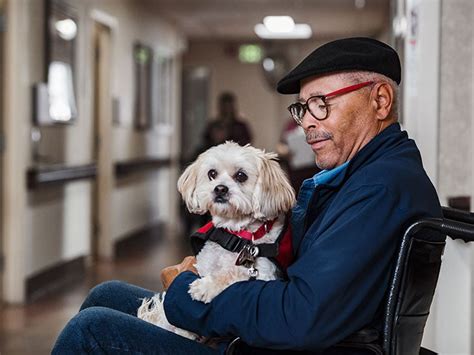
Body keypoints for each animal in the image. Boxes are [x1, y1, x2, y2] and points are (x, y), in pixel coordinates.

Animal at [135, 142, 294, 340]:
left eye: (241, 175)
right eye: (212, 173)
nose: (220, 188)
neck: (237, 237)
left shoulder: (264, 274)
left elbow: (234, 273)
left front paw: (205, 287)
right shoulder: (204, 265)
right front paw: (185, 330)